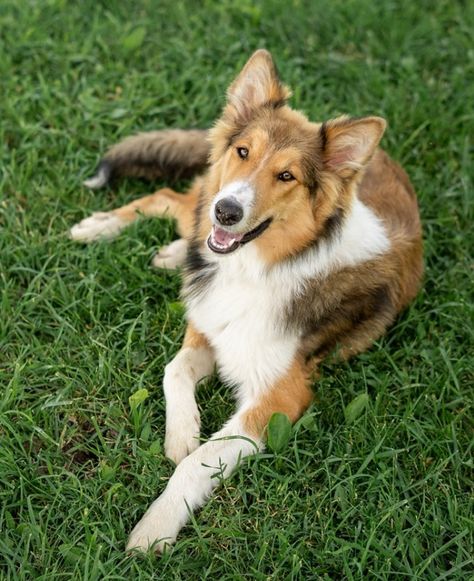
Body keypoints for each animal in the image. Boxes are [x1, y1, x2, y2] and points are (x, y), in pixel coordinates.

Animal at [69, 47, 422, 552]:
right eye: (243, 152)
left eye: (287, 175)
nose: (227, 212)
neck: (258, 267)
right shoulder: (208, 328)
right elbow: (174, 370)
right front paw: (182, 432)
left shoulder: (278, 397)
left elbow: (197, 461)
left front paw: (154, 529)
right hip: (203, 195)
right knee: (169, 197)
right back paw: (103, 228)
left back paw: (173, 252)